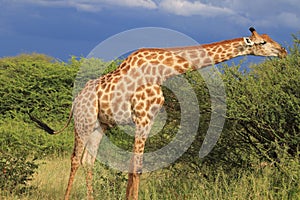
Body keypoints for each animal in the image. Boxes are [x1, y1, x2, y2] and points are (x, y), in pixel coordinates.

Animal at [29, 27, 286, 200]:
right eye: (263, 42)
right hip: (84, 121)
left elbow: (134, 166)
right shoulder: (143, 118)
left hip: (100, 125)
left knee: (88, 160)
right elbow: (137, 166)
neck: (164, 71)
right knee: (74, 159)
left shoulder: (147, 120)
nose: (283, 51)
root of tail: (76, 101)